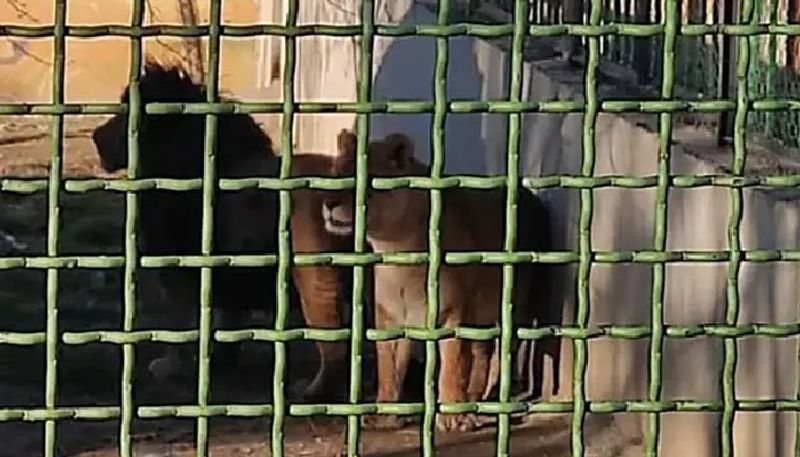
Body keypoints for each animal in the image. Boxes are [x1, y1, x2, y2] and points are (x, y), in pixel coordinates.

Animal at [90, 59, 350, 400]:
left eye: (124, 115)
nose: (94, 136)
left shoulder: (181, 275)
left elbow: (183, 326)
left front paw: (173, 366)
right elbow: (227, 321)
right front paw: (221, 361)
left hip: (318, 281)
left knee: (335, 348)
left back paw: (311, 392)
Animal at [322, 129, 560, 432]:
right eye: (334, 174)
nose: (329, 204)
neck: (396, 249)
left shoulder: (451, 313)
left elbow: (452, 364)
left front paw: (452, 417)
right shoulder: (390, 318)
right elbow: (389, 368)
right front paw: (385, 414)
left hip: (517, 301)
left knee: (507, 348)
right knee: (482, 352)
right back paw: (474, 396)